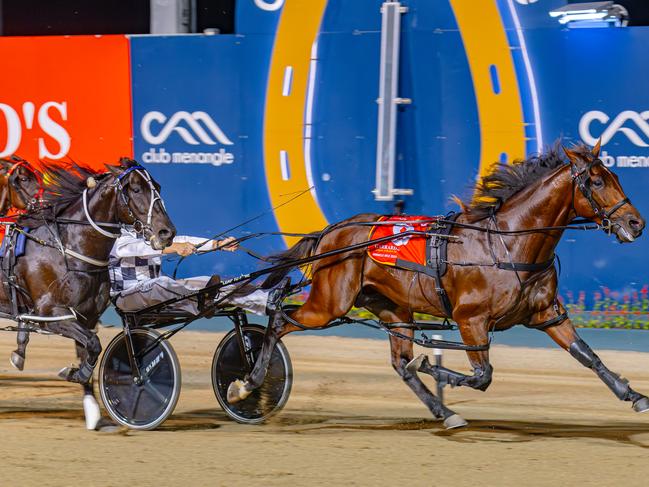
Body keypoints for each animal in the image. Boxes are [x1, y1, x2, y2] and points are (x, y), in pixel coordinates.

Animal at [3, 158, 175, 428]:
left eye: (157, 187)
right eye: (137, 189)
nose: (166, 232)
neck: (67, 248)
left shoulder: (87, 316)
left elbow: (88, 350)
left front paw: (92, 409)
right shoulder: (52, 314)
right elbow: (94, 344)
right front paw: (74, 373)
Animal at [228, 143, 648, 428]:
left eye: (616, 176)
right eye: (597, 180)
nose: (636, 223)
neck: (507, 243)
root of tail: (332, 231)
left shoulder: (547, 314)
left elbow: (587, 356)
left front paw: (632, 394)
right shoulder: (470, 319)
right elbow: (482, 376)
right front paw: (436, 365)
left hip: (393, 308)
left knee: (400, 363)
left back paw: (444, 412)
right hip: (330, 303)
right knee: (279, 321)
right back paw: (248, 384)